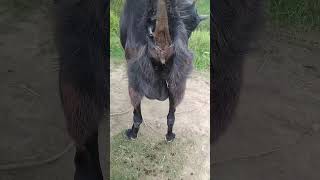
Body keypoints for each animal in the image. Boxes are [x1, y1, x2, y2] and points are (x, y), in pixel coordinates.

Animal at [119, 0, 205, 141]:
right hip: (178, 78)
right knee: (171, 115)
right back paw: (169, 136)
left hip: (135, 75)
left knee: (137, 115)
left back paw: (132, 133)